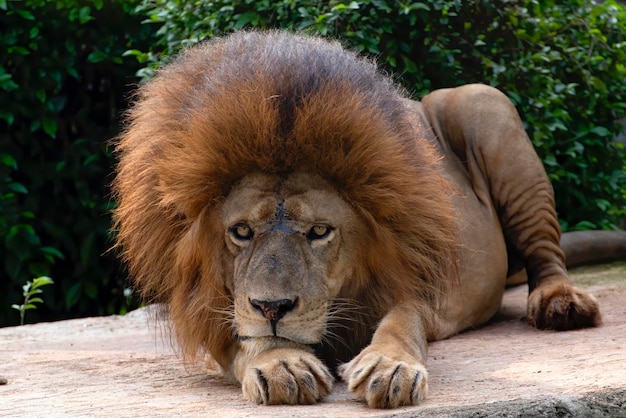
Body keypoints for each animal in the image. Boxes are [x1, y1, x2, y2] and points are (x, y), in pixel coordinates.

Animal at [111, 31, 620, 410]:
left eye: (319, 232)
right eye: (240, 232)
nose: (273, 308)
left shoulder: (410, 283)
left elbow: (400, 324)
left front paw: (388, 367)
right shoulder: (210, 308)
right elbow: (244, 337)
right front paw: (281, 362)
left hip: (485, 105)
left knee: (546, 254)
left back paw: (560, 304)